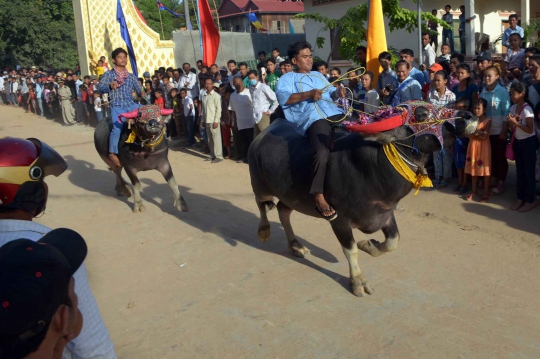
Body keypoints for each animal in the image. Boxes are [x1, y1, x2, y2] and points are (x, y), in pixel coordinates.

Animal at [249, 102, 476, 296]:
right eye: (421, 114)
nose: (467, 116)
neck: (373, 168)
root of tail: (262, 135)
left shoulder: (385, 213)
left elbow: (393, 241)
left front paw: (369, 245)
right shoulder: (339, 220)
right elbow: (351, 251)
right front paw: (358, 281)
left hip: (290, 196)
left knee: (283, 211)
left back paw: (295, 245)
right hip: (260, 185)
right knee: (261, 204)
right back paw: (263, 231)